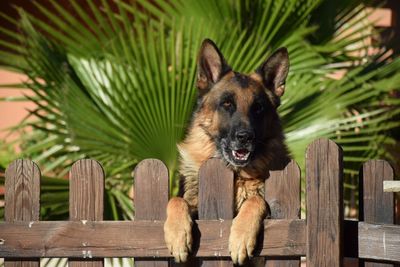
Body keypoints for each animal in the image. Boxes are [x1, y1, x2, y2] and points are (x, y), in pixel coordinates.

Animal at [163, 38, 290, 266]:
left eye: (258, 108)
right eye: (227, 104)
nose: (245, 137)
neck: (237, 175)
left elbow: (256, 200)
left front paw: (241, 236)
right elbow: (176, 199)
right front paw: (178, 234)